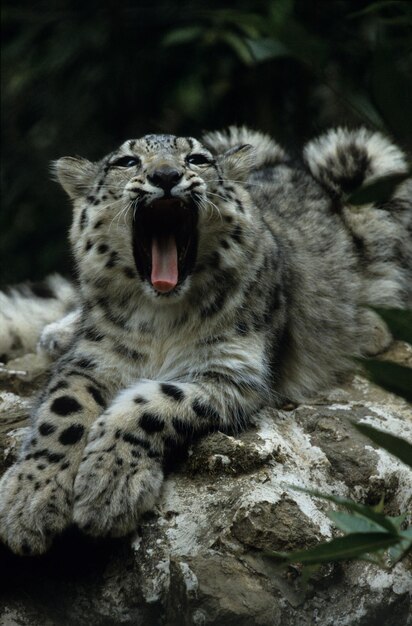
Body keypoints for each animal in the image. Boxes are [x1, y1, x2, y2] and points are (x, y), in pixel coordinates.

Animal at [0, 125, 412, 552]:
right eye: (126, 161)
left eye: (196, 159)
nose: (165, 175)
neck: (162, 321)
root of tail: (299, 170)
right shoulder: (92, 359)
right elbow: (62, 413)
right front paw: (30, 501)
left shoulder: (232, 371)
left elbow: (153, 402)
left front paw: (109, 487)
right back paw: (57, 333)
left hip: (364, 165)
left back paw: (370, 325)